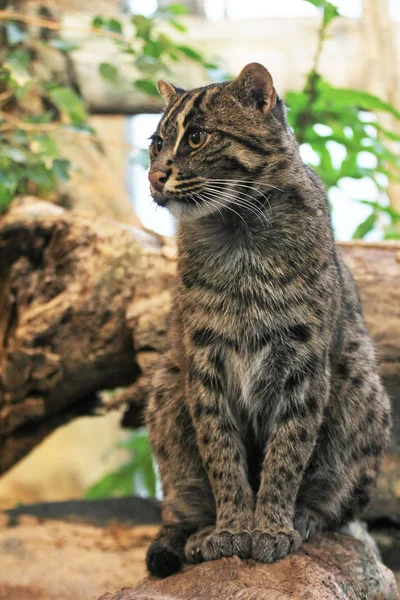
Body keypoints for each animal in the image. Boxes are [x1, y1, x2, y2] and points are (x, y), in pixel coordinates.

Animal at [144, 63, 390, 580]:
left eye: (196, 137)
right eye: (156, 142)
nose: (154, 175)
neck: (236, 229)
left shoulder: (303, 362)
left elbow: (287, 452)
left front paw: (273, 526)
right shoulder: (204, 362)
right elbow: (221, 452)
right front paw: (233, 527)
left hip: (361, 381)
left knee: (341, 508)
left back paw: (305, 517)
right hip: (166, 383)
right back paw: (198, 532)